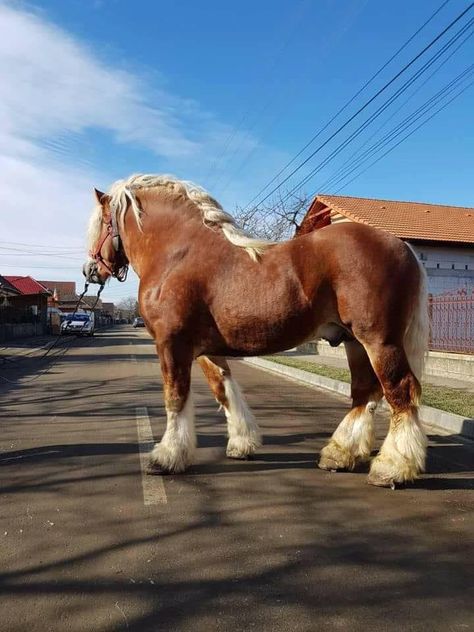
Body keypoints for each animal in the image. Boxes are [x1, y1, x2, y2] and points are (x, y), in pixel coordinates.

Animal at [85, 174, 430, 488]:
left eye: (101, 223)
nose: (90, 271)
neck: (178, 253)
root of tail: (402, 245)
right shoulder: (206, 350)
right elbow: (224, 390)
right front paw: (242, 443)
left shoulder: (172, 344)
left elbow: (175, 397)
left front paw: (166, 457)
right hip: (354, 342)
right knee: (364, 392)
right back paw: (338, 455)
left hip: (379, 341)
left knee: (400, 391)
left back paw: (391, 468)